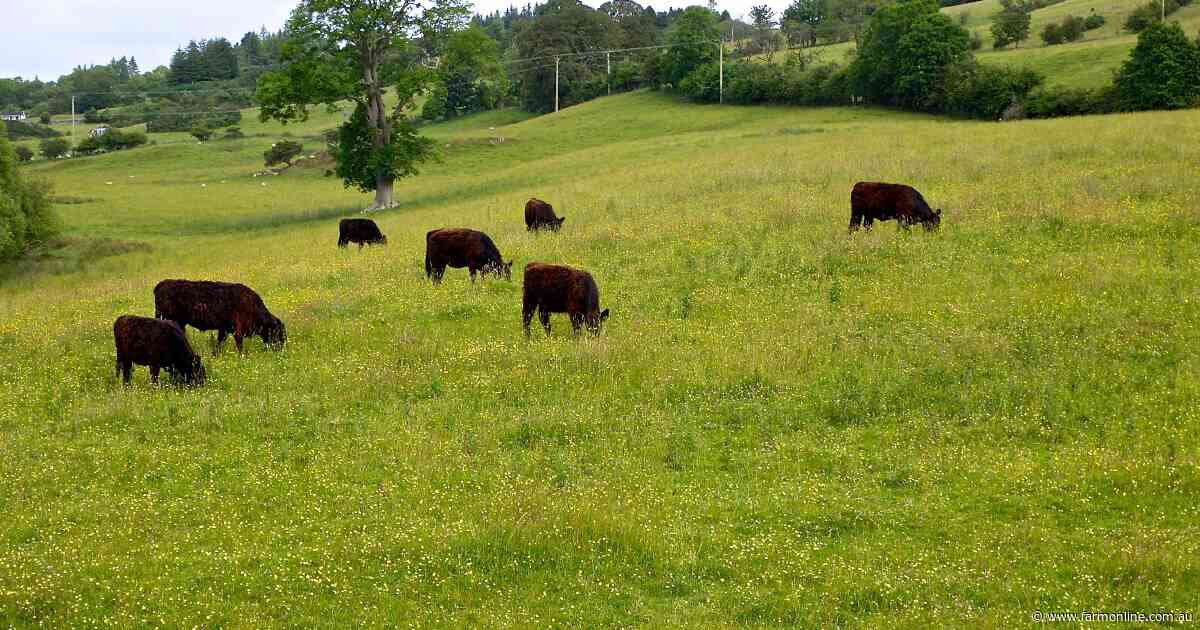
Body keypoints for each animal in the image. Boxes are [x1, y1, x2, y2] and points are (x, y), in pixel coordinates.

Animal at [154, 279, 287, 354]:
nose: (281, 348)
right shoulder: (237, 330)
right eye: (277, 332)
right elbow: (239, 344)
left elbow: (220, 342)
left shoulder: (224, 329)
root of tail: (160, 285)